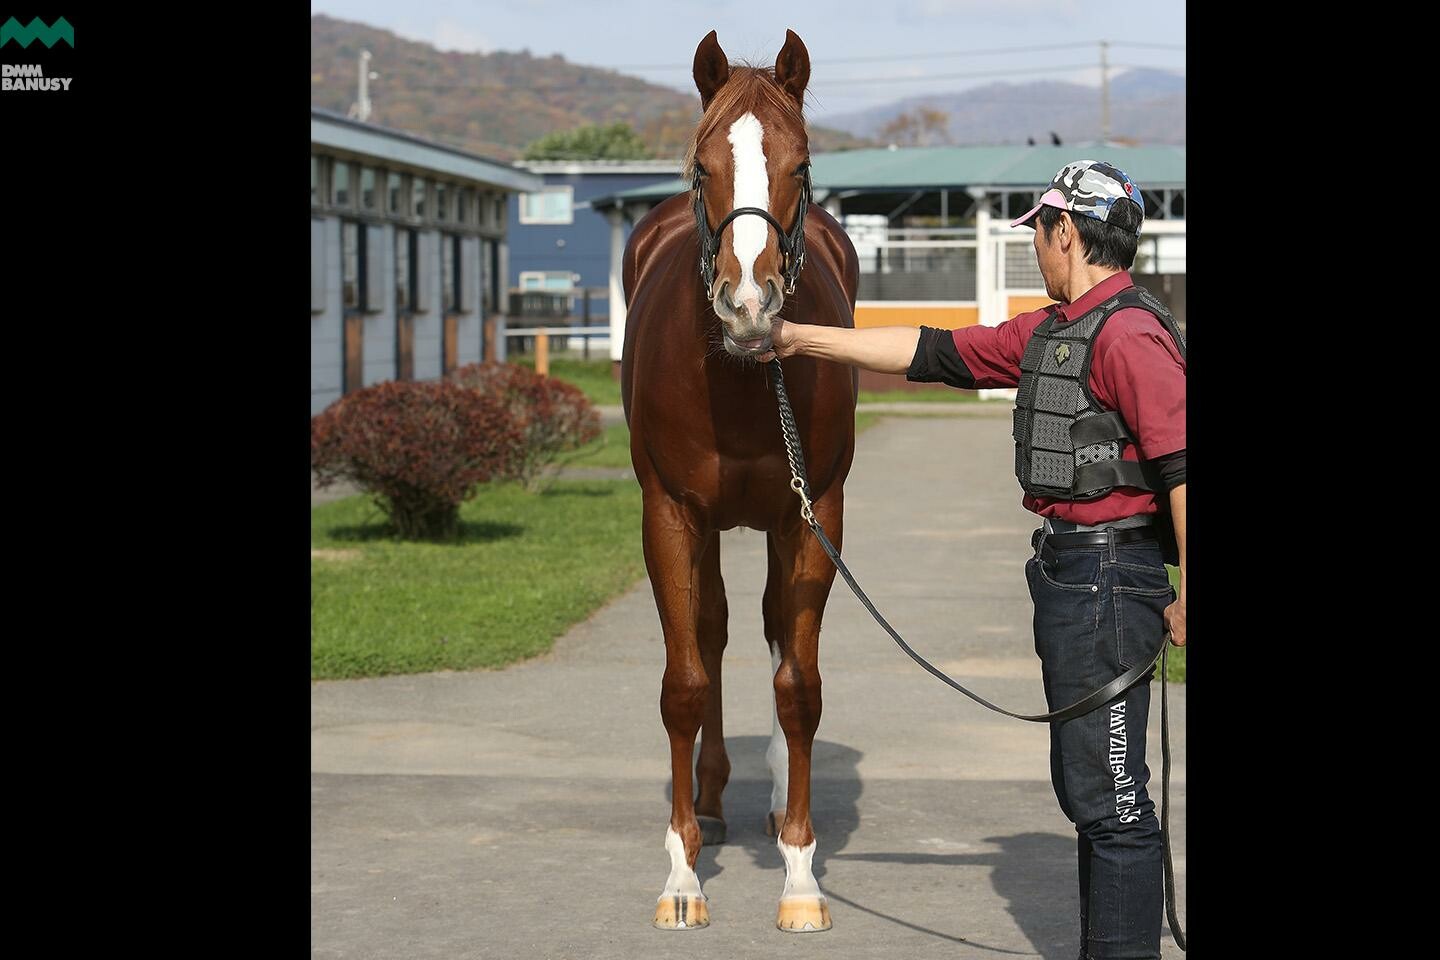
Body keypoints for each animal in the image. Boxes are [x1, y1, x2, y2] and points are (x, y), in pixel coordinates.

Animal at [620, 29, 860, 933]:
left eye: (800, 163)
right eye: (701, 165)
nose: (750, 303)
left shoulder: (812, 514)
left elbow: (799, 689)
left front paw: (800, 875)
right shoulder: (670, 514)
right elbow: (684, 684)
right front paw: (682, 875)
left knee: (763, 634)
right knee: (715, 633)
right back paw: (712, 803)